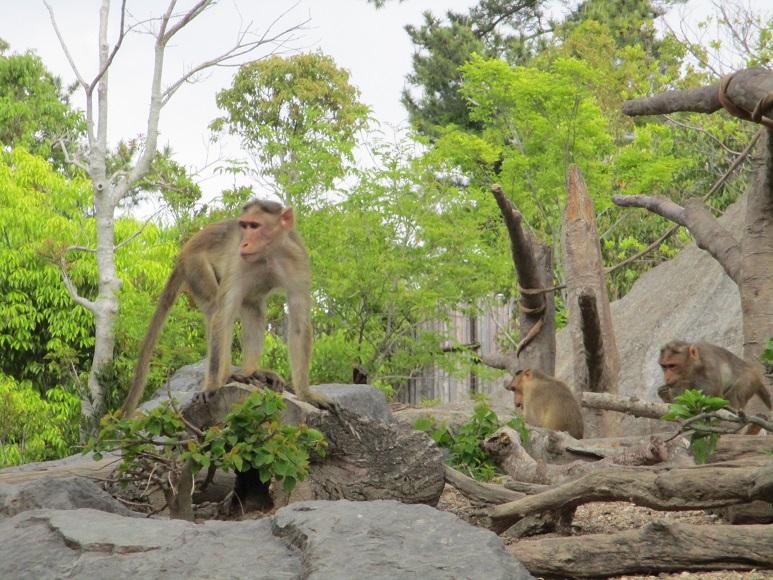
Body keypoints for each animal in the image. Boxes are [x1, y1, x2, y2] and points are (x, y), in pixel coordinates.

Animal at [122, 201, 322, 416]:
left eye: (255, 226)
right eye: (245, 226)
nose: (244, 243)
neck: (269, 254)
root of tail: (184, 250)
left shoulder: (297, 258)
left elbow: (299, 323)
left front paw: (306, 395)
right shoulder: (238, 261)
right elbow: (222, 316)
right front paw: (211, 385)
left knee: (253, 307)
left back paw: (252, 371)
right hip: (195, 266)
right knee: (215, 308)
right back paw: (226, 376)